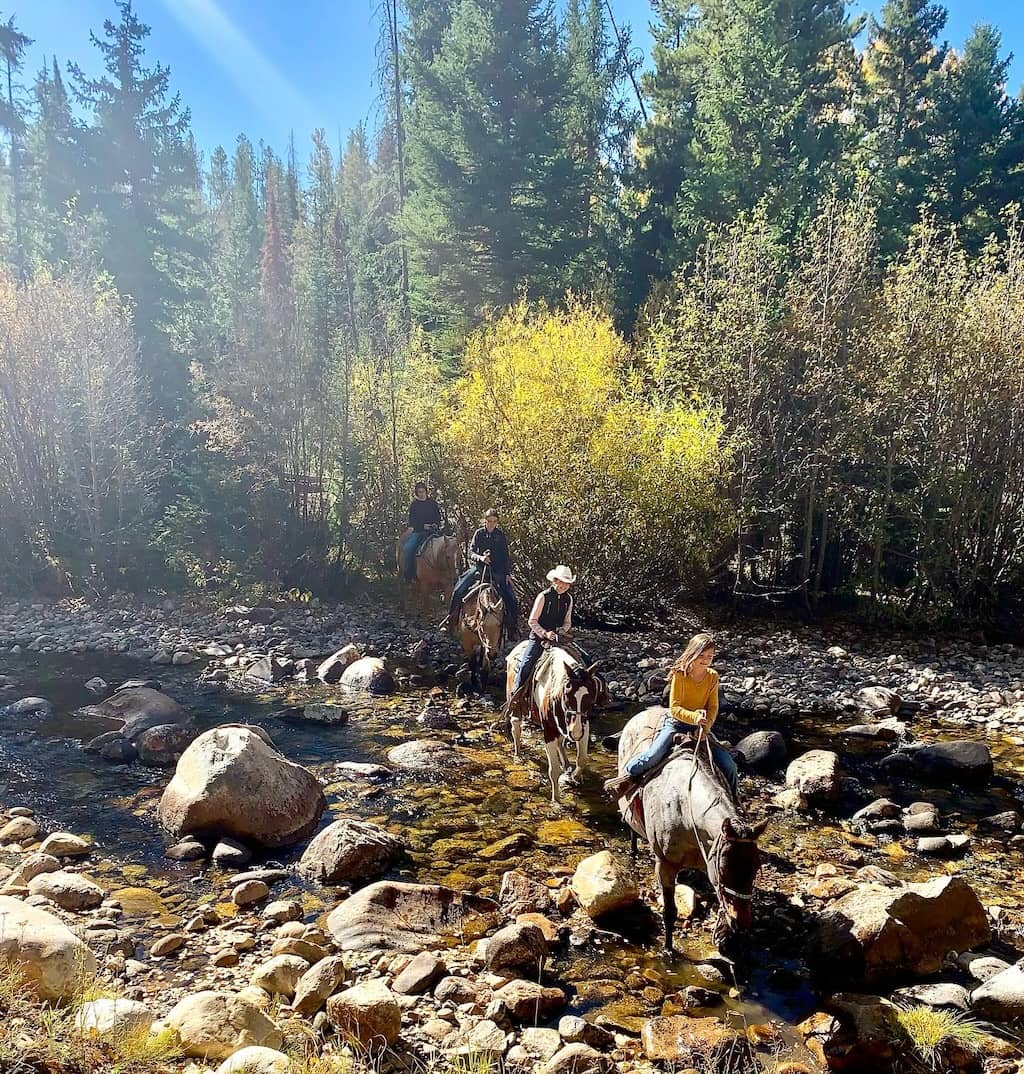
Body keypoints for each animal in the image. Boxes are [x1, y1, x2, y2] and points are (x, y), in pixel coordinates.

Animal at [505, 640, 606, 803]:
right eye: (567, 694)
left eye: (591, 698)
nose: (575, 733)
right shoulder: (549, 730)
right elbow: (554, 770)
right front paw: (556, 800)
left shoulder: (584, 725)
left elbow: (582, 759)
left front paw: (573, 777)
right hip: (515, 705)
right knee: (516, 728)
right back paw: (518, 755)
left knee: (561, 743)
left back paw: (567, 765)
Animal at [610, 708, 765, 953]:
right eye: (723, 870)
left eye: (755, 869)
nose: (742, 922)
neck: (685, 811)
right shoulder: (665, 865)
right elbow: (669, 912)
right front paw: (668, 949)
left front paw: (724, 934)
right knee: (632, 827)